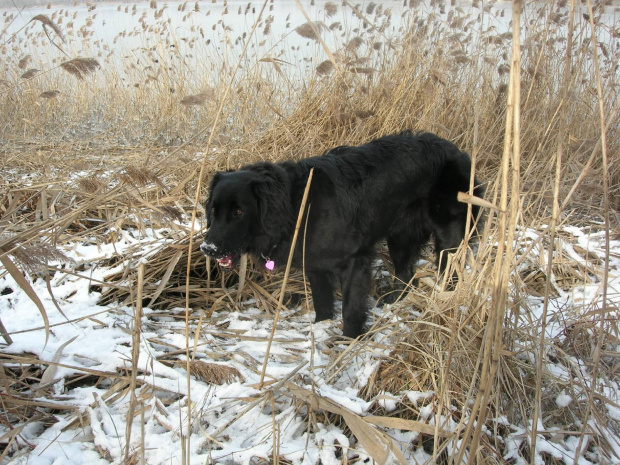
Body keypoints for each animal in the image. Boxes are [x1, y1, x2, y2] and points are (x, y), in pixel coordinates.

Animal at [199, 130, 484, 338]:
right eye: (213, 210)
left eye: (239, 212)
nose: (207, 248)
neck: (297, 205)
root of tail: (458, 151)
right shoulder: (315, 264)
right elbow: (322, 302)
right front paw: (321, 328)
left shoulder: (355, 261)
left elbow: (351, 308)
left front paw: (350, 339)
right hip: (400, 238)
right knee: (406, 275)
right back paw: (394, 300)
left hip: (450, 237)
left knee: (450, 272)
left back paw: (446, 303)